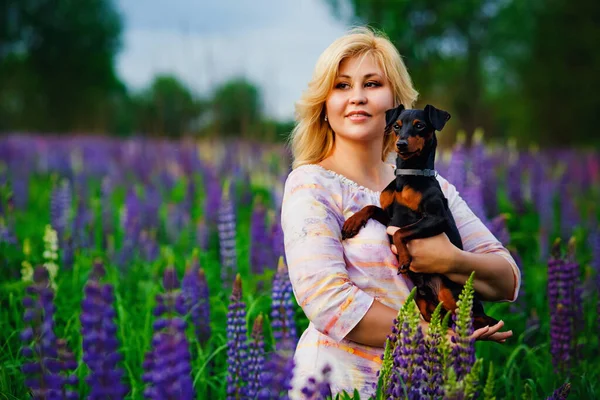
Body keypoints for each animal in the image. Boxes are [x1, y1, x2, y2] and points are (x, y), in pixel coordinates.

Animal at [340, 104, 500, 332]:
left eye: (419, 126)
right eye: (397, 126)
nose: (401, 144)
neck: (409, 176)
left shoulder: (436, 218)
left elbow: (401, 232)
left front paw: (405, 258)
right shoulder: (389, 216)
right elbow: (370, 207)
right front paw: (352, 223)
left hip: (450, 294)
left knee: (475, 319)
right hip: (424, 305)